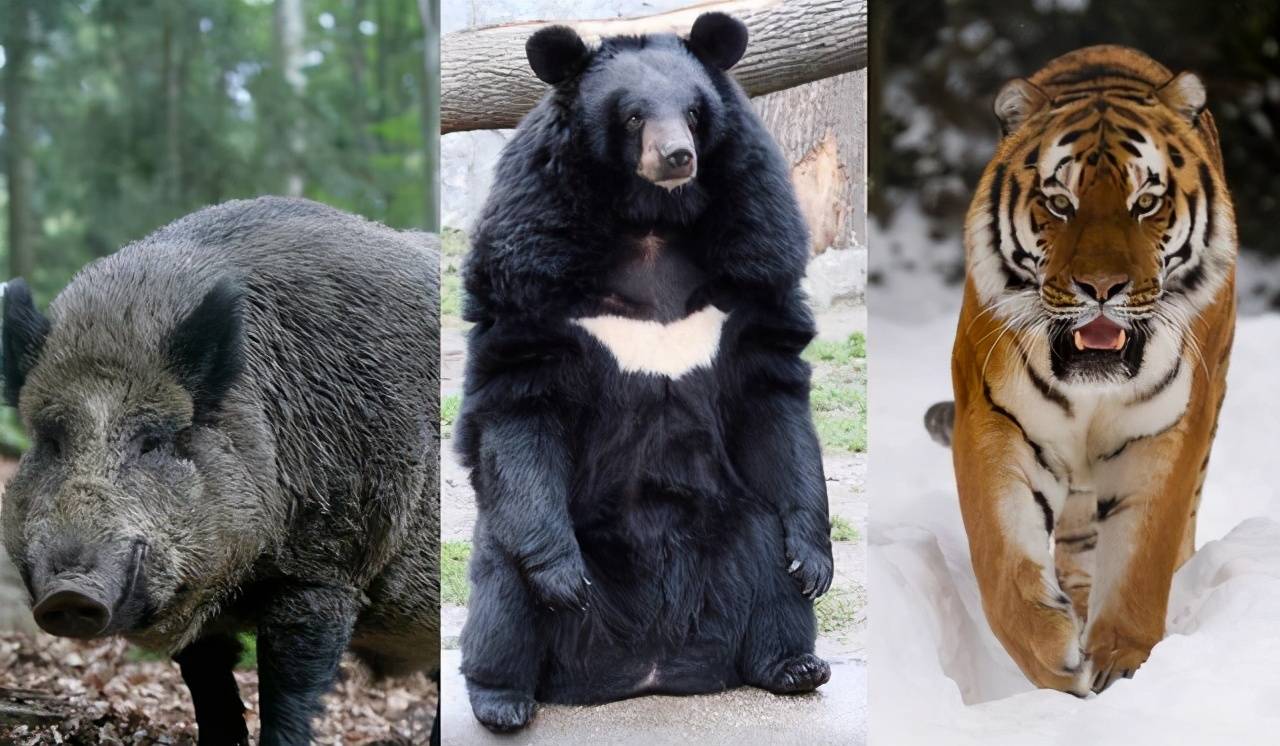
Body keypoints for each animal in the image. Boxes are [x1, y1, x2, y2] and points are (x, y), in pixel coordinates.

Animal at [455, 12, 834, 732]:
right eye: (632, 117)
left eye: (693, 112)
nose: (677, 157)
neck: (652, 218)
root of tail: (647, 669)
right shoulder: (531, 254)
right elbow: (522, 390)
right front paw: (563, 580)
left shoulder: (757, 249)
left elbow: (771, 388)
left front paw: (815, 560)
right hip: (513, 536)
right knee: (502, 596)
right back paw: (504, 699)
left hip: (735, 524)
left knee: (769, 566)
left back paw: (794, 665)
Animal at [925, 45, 1237, 696]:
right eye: (1059, 203)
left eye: (1146, 202)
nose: (1101, 288)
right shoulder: (995, 420)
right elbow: (1001, 559)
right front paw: (1053, 658)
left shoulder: (1166, 433)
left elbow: (1143, 558)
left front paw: (1121, 659)